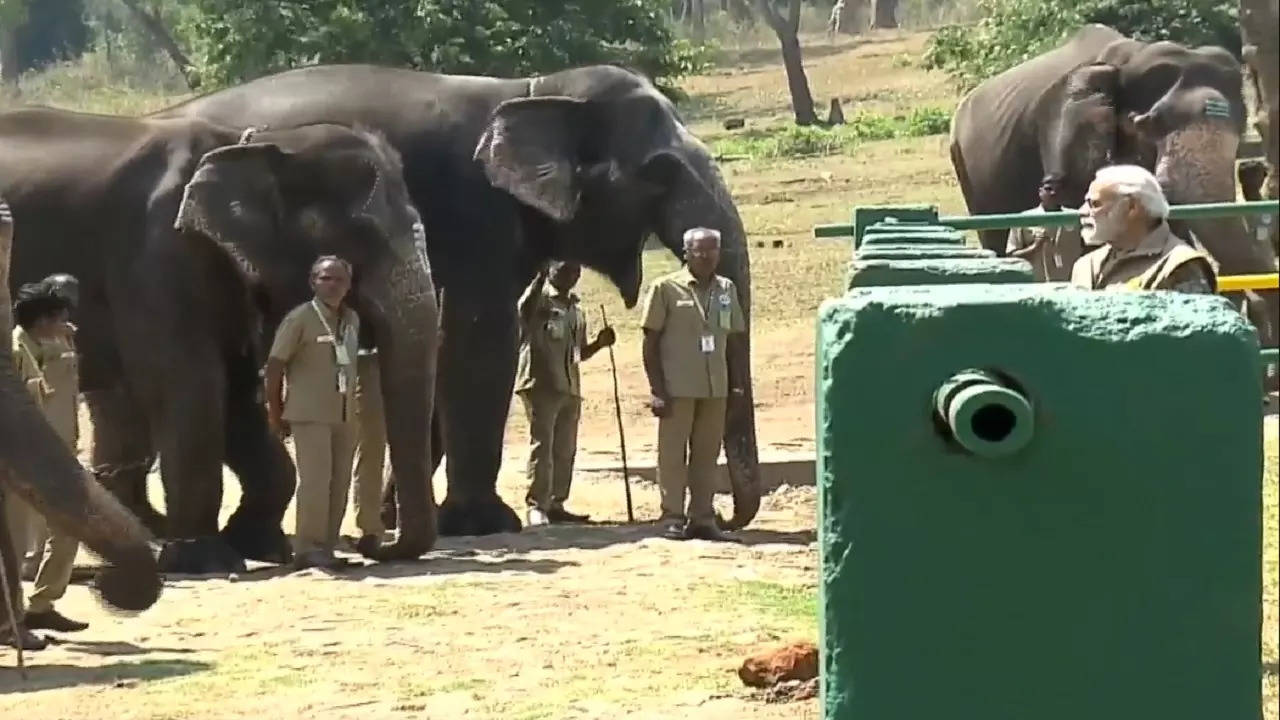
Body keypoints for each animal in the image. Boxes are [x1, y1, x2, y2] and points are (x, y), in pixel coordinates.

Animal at [1, 106, 440, 571]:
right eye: (360, 236)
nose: (370, 544)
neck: (256, 143)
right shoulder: (159, 256)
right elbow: (189, 384)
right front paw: (207, 560)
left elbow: (238, 394)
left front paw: (261, 547)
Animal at [154, 63, 762, 532]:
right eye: (659, 173)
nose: (724, 518)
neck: (535, 87)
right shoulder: (476, 213)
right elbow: (478, 339)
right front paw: (484, 523)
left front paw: (402, 515)